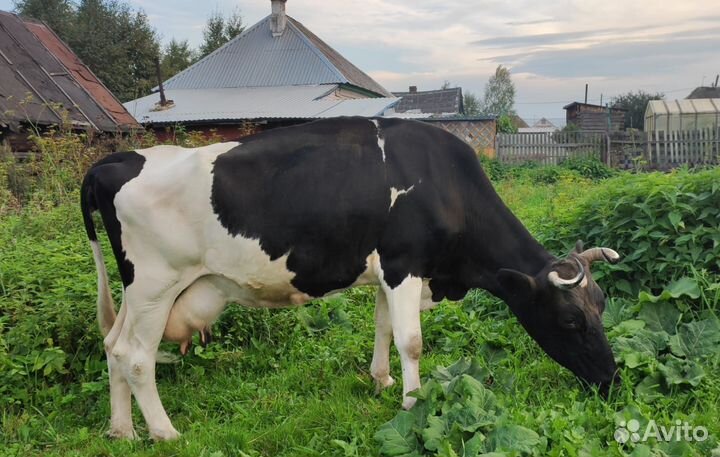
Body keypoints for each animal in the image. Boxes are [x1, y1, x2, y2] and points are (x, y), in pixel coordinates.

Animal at [80, 117, 620, 441]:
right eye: (571, 322)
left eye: (602, 306)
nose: (612, 381)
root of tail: (119, 159)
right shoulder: (405, 264)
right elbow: (411, 341)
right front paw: (412, 401)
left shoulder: (387, 272)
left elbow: (383, 327)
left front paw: (381, 381)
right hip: (155, 284)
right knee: (136, 356)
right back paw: (165, 433)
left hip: (137, 292)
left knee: (112, 345)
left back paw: (122, 430)